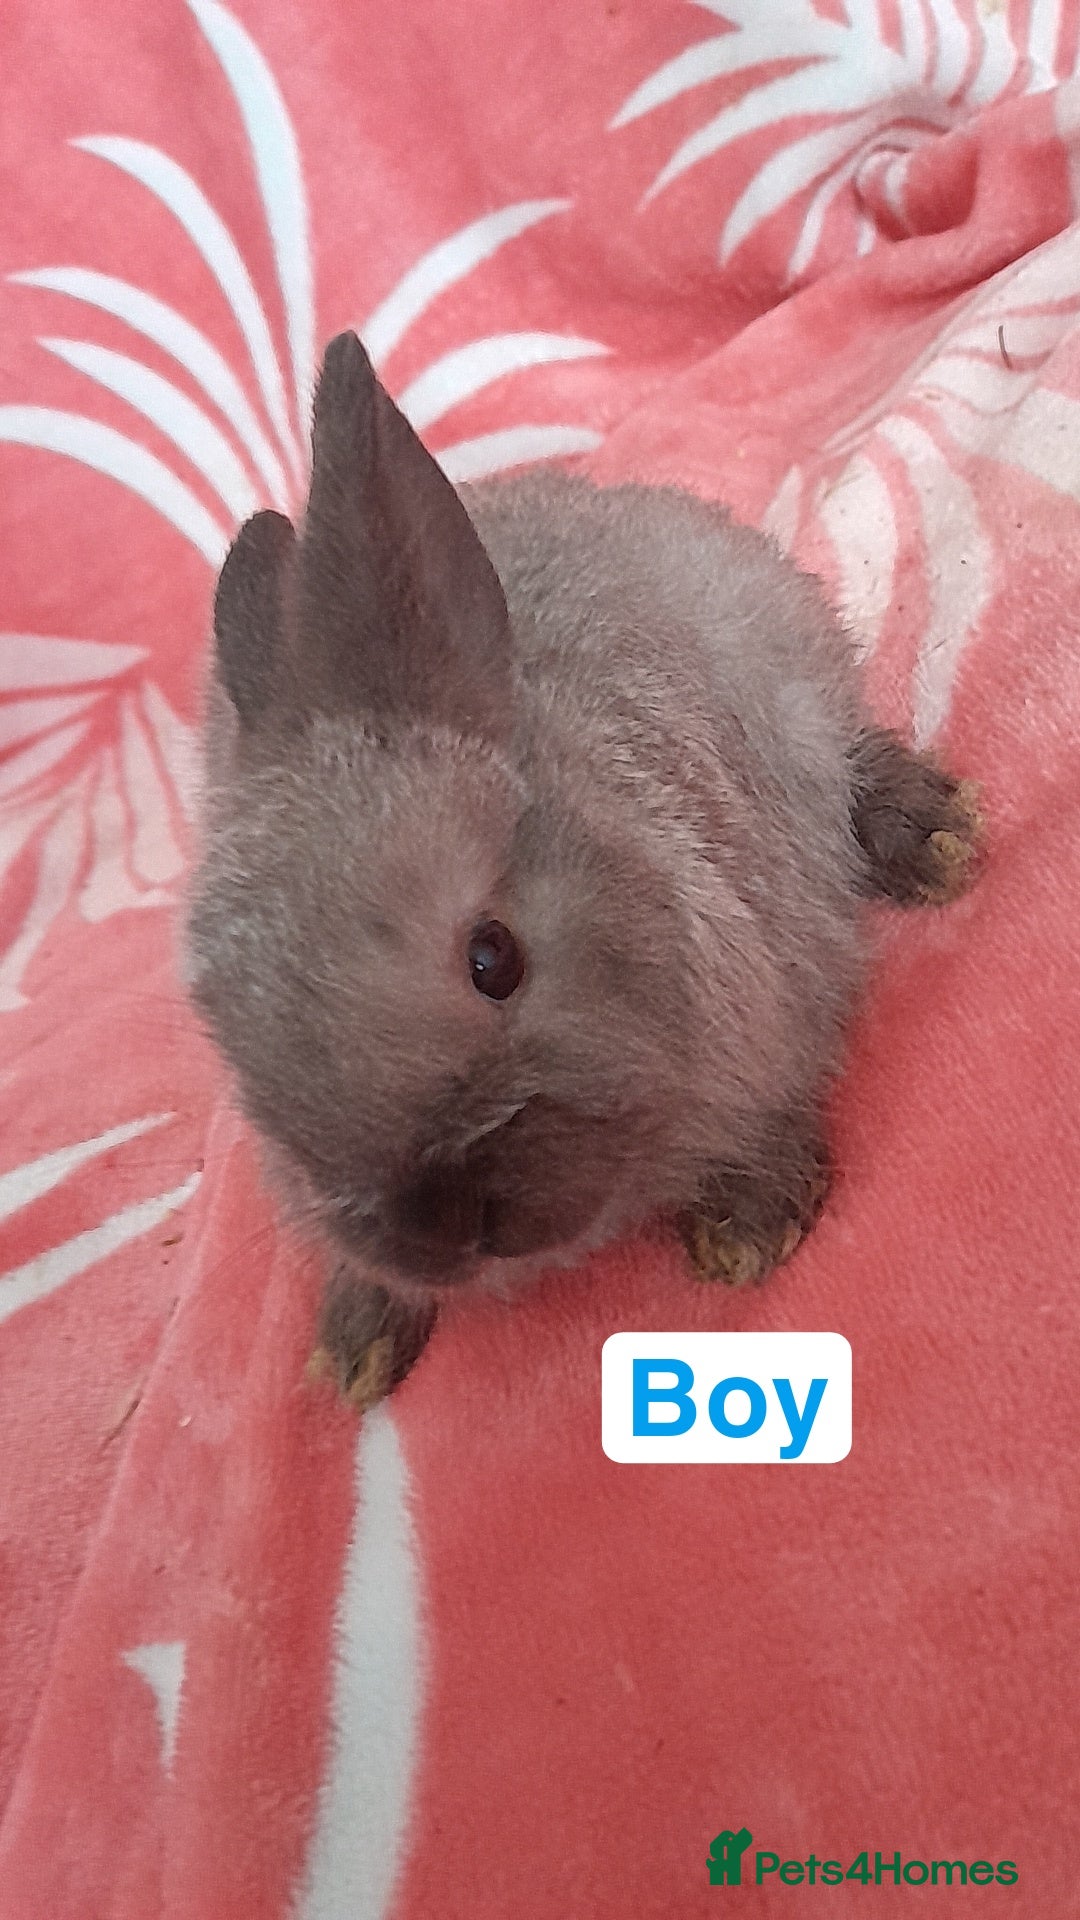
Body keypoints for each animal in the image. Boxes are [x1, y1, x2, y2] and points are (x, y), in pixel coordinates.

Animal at [185, 330, 981, 1409]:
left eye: (494, 959)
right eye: (242, 1059)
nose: (443, 1227)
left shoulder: (778, 981)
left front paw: (747, 1229)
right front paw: (353, 1350)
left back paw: (937, 841)